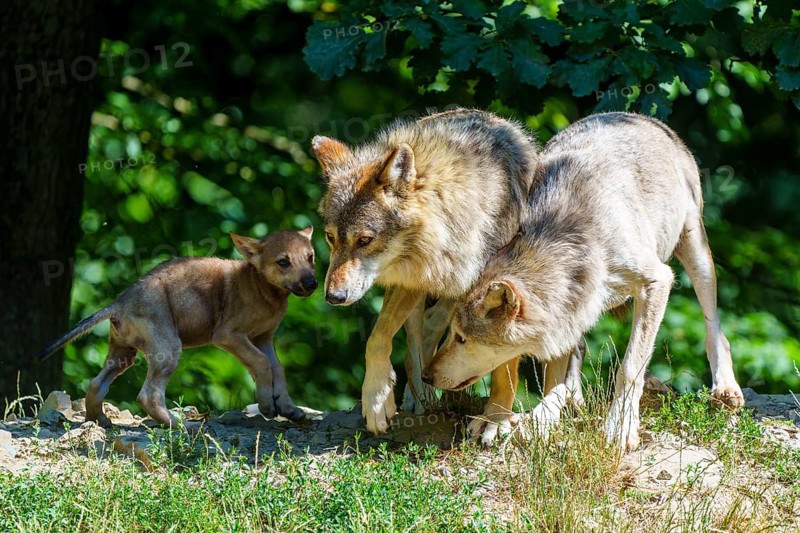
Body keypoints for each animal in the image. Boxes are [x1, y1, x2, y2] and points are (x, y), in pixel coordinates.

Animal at [38, 228, 317, 428]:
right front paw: (268, 405)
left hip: (123, 355)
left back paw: (101, 421)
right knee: (147, 395)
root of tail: (118, 303)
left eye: (310, 257)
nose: (312, 283)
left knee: (96, 385)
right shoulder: (229, 336)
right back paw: (180, 425)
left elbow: (278, 368)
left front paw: (288, 408)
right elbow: (262, 363)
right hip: (168, 351)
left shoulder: (263, 339)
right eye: (283, 262)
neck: (264, 291)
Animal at [313, 108, 543, 437]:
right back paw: (419, 398)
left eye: (365, 240)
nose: (333, 296)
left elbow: (505, 364)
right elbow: (376, 338)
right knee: (416, 347)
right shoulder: (410, 277)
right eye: (330, 238)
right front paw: (377, 401)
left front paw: (495, 419)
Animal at [422, 112, 744, 451]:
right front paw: (543, 418)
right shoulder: (567, 307)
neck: (571, 239)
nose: (426, 376)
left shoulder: (656, 281)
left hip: (695, 252)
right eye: (452, 333)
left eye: (462, 339)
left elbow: (630, 367)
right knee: (576, 348)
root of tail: (640, 117)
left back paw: (726, 389)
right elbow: (554, 378)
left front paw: (620, 426)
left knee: (714, 326)